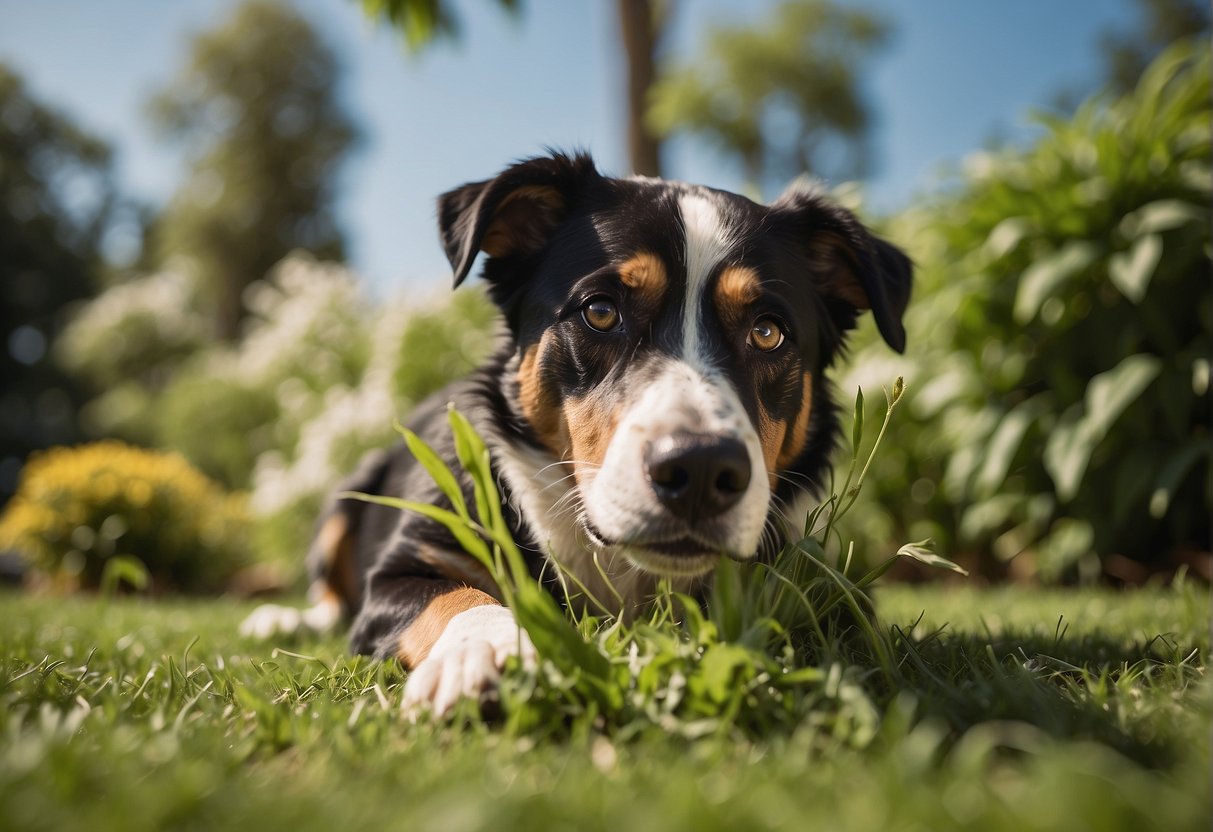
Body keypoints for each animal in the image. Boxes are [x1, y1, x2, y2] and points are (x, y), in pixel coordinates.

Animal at [243, 153, 912, 717]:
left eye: (768, 332)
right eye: (600, 311)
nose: (699, 469)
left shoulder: (825, 589)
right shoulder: (405, 570)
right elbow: (457, 597)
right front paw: (487, 653)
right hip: (345, 500)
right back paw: (276, 619)